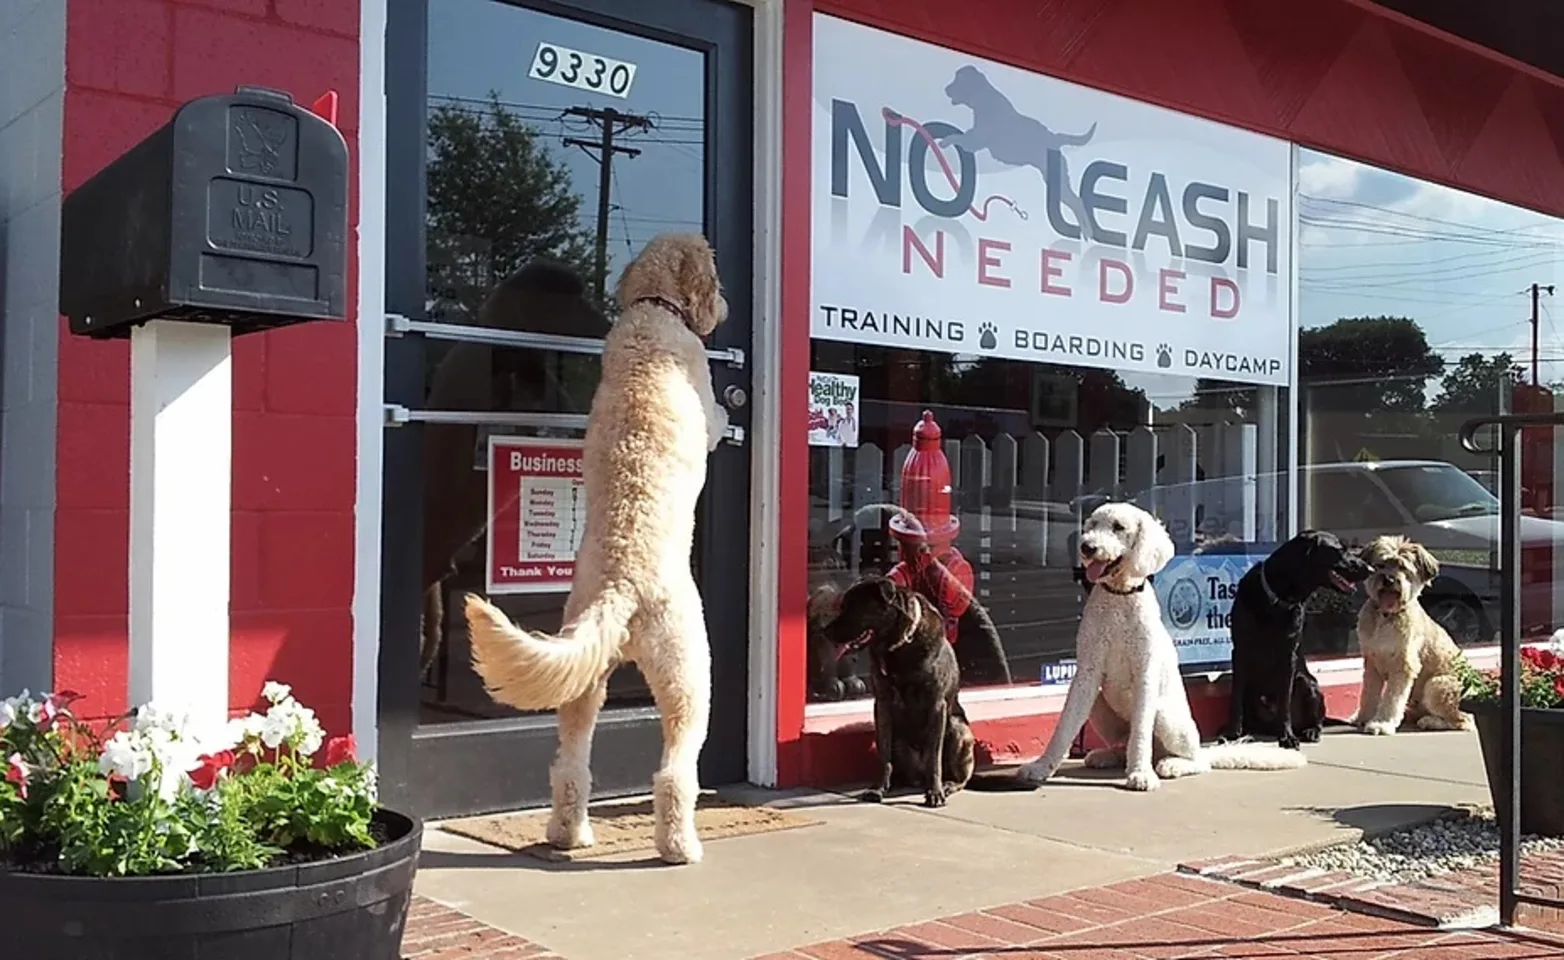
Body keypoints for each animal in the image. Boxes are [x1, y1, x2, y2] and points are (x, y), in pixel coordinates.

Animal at [462, 234, 731, 875]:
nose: (726, 308)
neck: (653, 312)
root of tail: (621, 588)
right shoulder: (701, 386)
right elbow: (715, 417)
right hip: (690, 673)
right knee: (674, 772)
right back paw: (680, 847)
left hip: (582, 684)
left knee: (570, 765)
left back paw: (568, 833)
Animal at [1219, 534, 1370, 753]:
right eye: (1340, 550)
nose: (1371, 569)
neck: (1276, 598)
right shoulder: (1240, 650)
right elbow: (1235, 697)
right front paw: (1232, 732)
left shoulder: (1288, 655)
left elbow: (1285, 701)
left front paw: (1287, 737)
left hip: (1308, 684)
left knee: (1317, 719)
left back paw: (1310, 731)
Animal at [1351, 534, 1470, 737]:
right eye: (1381, 565)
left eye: (1403, 568)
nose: (1389, 579)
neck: (1386, 616)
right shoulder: (1372, 663)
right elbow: (1368, 694)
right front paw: (1363, 717)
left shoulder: (1403, 666)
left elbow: (1391, 698)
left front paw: (1381, 723)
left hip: (1437, 684)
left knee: (1462, 720)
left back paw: (1430, 721)